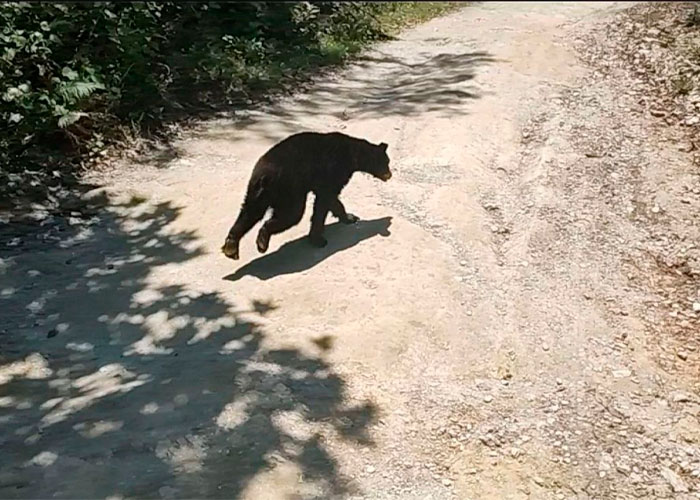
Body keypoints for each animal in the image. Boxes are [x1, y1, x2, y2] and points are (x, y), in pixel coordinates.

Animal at [221, 131, 392, 260]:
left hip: (256, 191)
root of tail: (266, 177)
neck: (353, 156)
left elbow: (332, 200)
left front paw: (349, 217)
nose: (390, 175)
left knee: (250, 212)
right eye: (385, 162)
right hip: (289, 190)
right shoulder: (333, 171)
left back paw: (231, 245)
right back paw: (263, 239)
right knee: (291, 215)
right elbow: (324, 200)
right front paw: (317, 238)